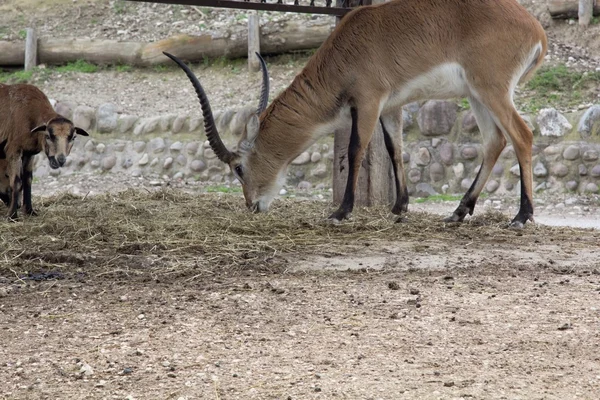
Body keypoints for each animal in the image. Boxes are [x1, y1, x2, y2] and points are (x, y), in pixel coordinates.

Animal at [0, 83, 89, 219]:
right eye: (48, 136)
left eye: (73, 137)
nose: (60, 160)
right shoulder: (13, 149)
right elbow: (16, 181)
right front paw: (12, 215)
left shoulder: (28, 153)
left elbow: (28, 180)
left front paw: (30, 211)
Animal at [166, 0, 548, 227]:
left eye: (238, 168)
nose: (252, 205)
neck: (344, 51)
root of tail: (535, 27)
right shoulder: (389, 106)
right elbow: (394, 149)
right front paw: (398, 208)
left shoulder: (367, 101)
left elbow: (355, 150)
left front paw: (340, 212)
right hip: (476, 95)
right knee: (495, 142)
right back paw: (457, 212)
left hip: (491, 91)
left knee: (522, 135)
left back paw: (522, 216)